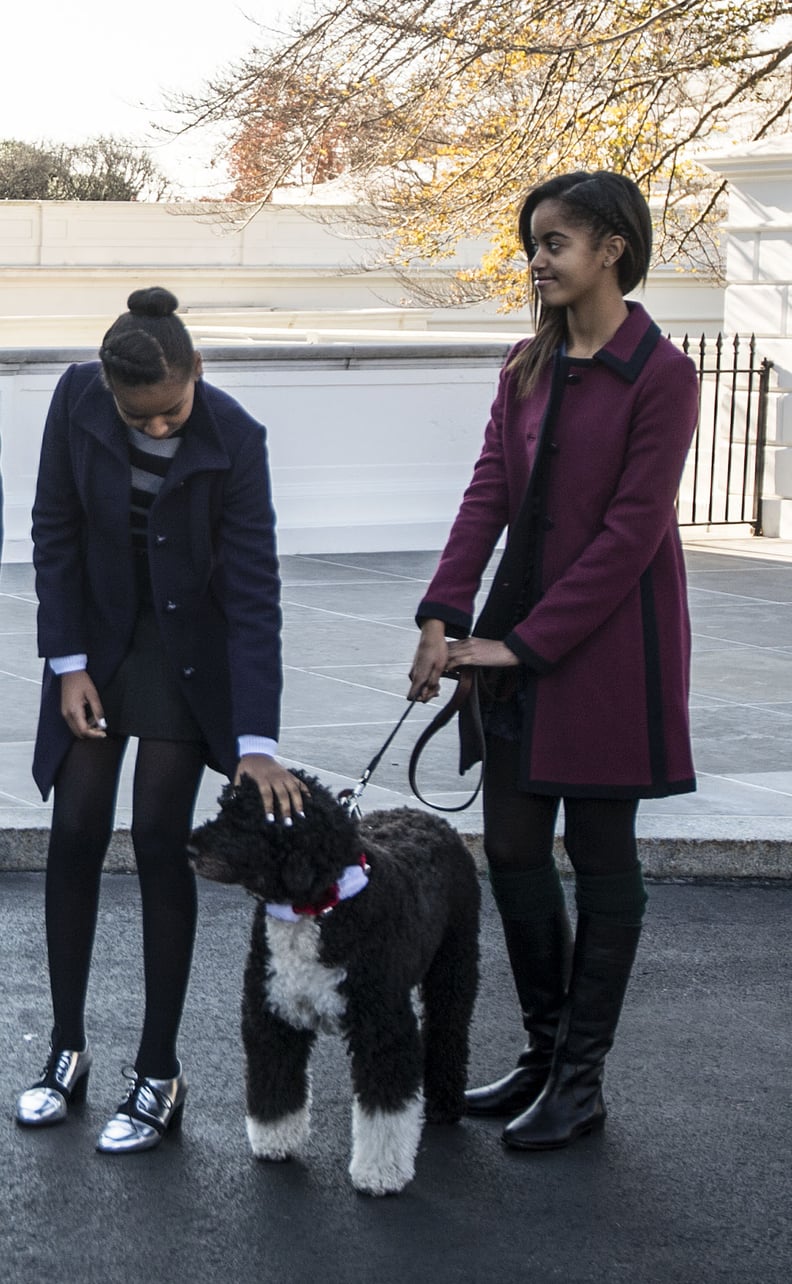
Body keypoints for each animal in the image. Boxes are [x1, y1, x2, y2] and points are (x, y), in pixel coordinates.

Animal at [188, 765, 477, 1196]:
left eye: (247, 818)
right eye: (224, 805)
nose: (191, 848)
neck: (315, 908)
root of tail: (428, 816)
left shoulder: (382, 1029)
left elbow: (385, 1110)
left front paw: (380, 1173)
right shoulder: (272, 1013)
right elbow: (275, 1082)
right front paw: (275, 1139)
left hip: (454, 967)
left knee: (449, 1031)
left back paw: (443, 1104)